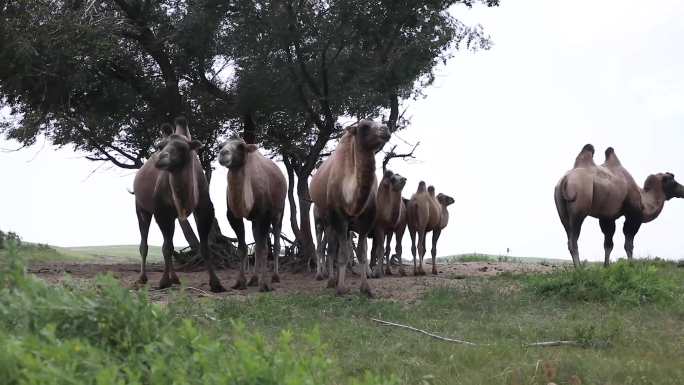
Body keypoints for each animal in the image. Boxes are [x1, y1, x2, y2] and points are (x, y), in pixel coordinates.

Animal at [130, 117, 222, 292]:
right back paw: (142, 278)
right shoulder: (162, 212)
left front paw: (216, 283)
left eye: (182, 147)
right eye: (160, 146)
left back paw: (175, 278)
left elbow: (204, 247)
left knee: (169, 242)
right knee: (145, 243)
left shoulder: (204, 209)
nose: (161, 158)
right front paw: (164, 281)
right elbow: (166, 247)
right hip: (141, 207)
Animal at [218, 138, 284, 292]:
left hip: (279, 212)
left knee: (275, 242)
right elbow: (243, 248)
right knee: (257, 243)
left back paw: (275, 277)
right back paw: (253, 279)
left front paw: (264, 285)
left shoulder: (265, 214)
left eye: (241, 146)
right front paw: (239, 282)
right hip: (255, 220)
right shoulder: (233, 216)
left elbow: (265, 248)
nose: (223, 153)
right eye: (220, 145)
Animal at [310, 118, 390, 296]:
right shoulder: (338, 217)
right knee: (325, 247)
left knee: (332, 247)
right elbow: (342, 254)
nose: (386, 129)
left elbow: (361, 253)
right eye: (364, 126)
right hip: (322, 220)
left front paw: (366, 288)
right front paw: (341, 288)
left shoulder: (367, 219)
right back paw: (327, 279)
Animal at [556, 144, 684, 268]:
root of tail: (565, 179)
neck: (645, 201)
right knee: (574, 240)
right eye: (673, 180)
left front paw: (606, 267)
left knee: (568, 235)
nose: (683, 189)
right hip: (579, 206)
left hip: (562, 211)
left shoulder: (607, 217)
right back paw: (579, 269)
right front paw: (631, 266)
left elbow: (608, 244)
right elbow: (628, 244)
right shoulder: (633, 216)